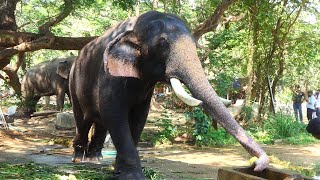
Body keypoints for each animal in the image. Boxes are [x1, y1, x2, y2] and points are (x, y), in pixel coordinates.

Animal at [69, 11, 268, 180]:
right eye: (162, 43)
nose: (258, 165)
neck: (136, 24)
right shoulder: (109, 76)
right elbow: (115, 114)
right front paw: (133, 176)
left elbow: (139, 118)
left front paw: (120, 171)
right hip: (73, 81)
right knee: (83, 120)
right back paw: (79, 158)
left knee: (100, 123)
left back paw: (96, 159)